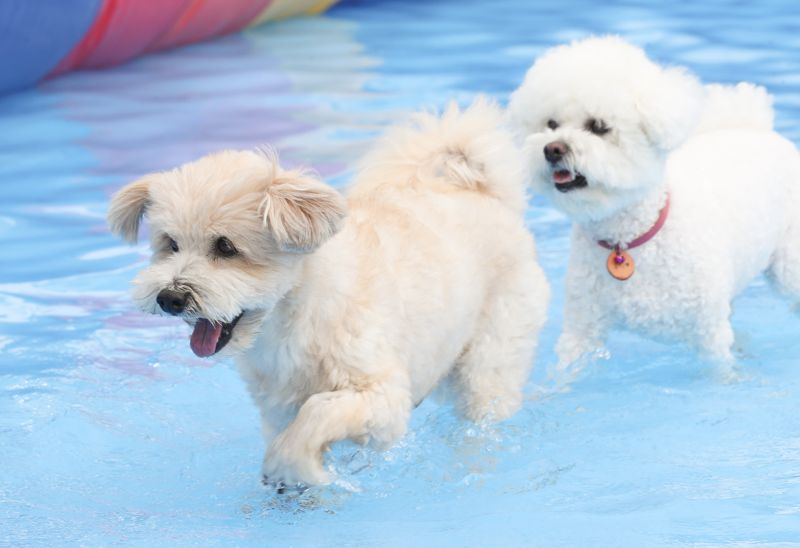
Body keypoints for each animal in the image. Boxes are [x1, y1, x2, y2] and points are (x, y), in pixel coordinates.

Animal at [108, 98, 552, 488]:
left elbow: (316, 415)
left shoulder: (381, 399)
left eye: (225, 247)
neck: (293, 319)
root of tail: (485, 195)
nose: (170, 298)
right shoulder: (278, 407)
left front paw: (295, 469)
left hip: (491, 360)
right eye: (170, 244)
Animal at [510, 37, 796, 372]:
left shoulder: (708, 331)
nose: (552, 149)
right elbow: (567, 370)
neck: (630, 238)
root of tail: (755, 128)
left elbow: (720, 371)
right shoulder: (582, 328)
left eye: (598, 126)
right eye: (551, 124)